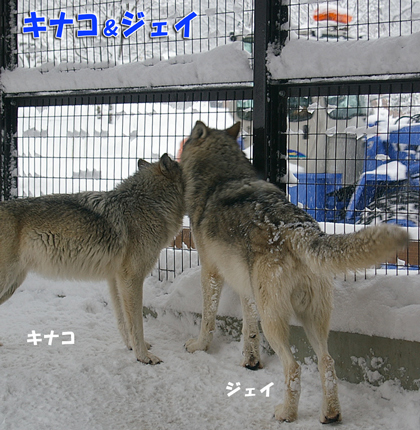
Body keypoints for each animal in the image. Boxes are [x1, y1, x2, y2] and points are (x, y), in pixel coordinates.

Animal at [0, 154, 184, 362]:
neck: (150, 204)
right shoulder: (132, 278)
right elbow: (136, 324)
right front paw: (144, 357)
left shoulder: (115, 279)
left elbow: (123, 320)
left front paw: (131, 347)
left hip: (12, 284)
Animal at [181, 122, 410, 424]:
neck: (222, 175)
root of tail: (298, 228)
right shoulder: (247, 288)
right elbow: (249, 329)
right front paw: (250, 361)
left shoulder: (210, 273)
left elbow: (208, 318)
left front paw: (199, 346)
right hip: (310, 319)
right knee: (327, 362)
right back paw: (331, 414)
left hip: (275, 321)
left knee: (295, 367)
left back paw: (286, 413)